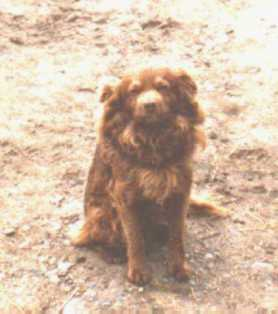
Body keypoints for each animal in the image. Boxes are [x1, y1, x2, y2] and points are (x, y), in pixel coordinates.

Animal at [73, 67, 227, 286]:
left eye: (163, 87)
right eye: (133, 91)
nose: (150, 105)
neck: (154, 137)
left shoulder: (180, 191)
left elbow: (176, 235)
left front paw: (178, 266)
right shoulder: (124, 196)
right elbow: (134, 237)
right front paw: (138, 271)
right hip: (100, 212)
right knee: (91, 236)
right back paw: (112, 253)